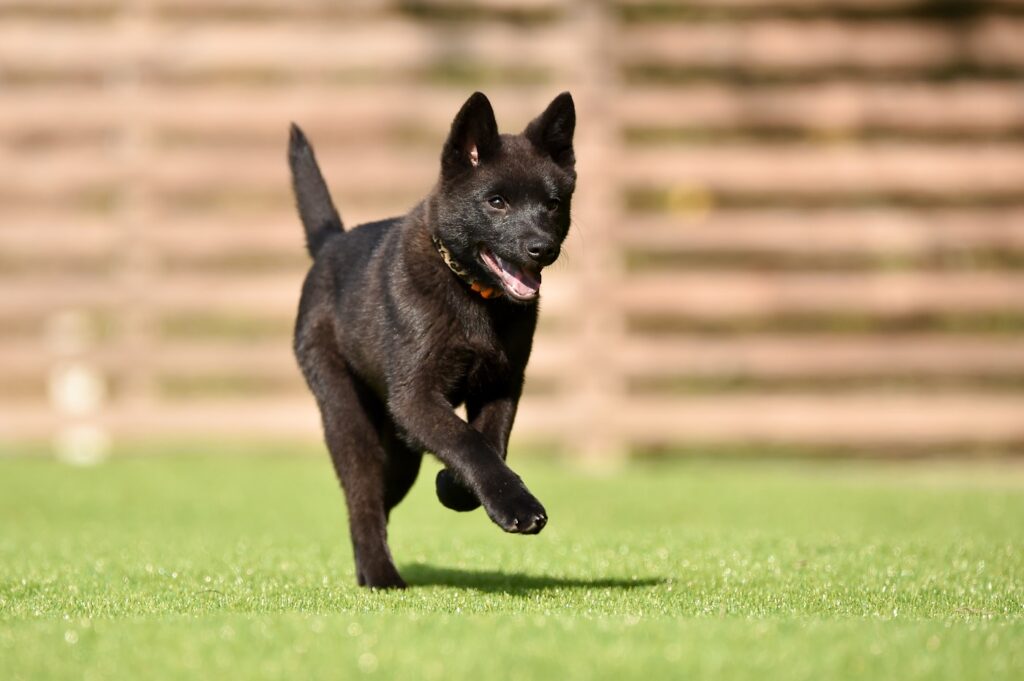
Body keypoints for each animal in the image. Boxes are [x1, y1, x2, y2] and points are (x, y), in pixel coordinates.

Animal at [288, 93, 577, 585]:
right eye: (496, 201)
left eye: (553, 204)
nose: (542, 248)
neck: (474, 296)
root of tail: (330, 244)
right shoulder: (415, 397)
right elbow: (466, 441)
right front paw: (515, 504)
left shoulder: (501, 386)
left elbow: (489, 442)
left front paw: (454, 489)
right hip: (346, 412)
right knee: (362, 497)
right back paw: (381, 575)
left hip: (400, 454)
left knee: (378, 500)